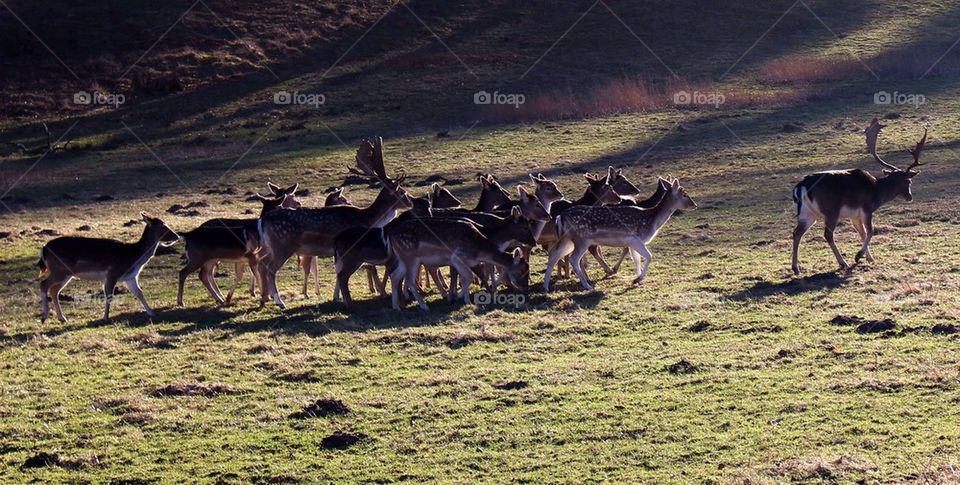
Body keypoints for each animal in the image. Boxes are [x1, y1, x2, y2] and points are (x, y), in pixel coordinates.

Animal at [39, 211, 180, 322]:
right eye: (162, 226)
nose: (177, 236)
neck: (133, 255)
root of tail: (44, 249)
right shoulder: (113, 273)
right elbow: (109, 295)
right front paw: (105, 317)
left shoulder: (130, 277)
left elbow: (139, 292)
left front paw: (151, 312)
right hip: (59, 270)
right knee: (44, 284)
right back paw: (44, 316)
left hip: (65, 274)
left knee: (54, 290)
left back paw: (61, 318)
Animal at [258, 138, 412, 308]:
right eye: (402, 191)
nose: (412, 201)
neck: (368, 219)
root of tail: (264, 220)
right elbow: (365, 268)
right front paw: (380, 292)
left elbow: (338, 271)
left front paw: (336, 297)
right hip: (283, 245)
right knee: (270, 268)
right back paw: (279, 302)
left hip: (271, 246)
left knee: (262, 263)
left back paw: (265, 299)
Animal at [548, 178, 696, 292]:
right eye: (684, 194)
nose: (694, 204)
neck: (651, 221)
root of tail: (560, 216)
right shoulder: (635, 239)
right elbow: (649, 256)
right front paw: (637, 279)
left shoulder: (632, 242)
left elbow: (636, 259)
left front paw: (638, 280)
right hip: (581, 239)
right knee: (573, 259)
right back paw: (587, 286)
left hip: (568, 239)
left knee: (554, 254)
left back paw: (546, 287)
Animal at [792, 118, 928, 274]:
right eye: (909, 181)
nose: (909, 197)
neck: (876, 192)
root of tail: (801, 186)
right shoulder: (866, 208)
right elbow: (870, 231)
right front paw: (858, 256)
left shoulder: (854, 216)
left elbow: (862, 233)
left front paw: (869, 258)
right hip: (831, 210)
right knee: (827, 234)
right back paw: (843, 263)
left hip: (807, 213)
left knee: (796, 233)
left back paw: (796, 268)